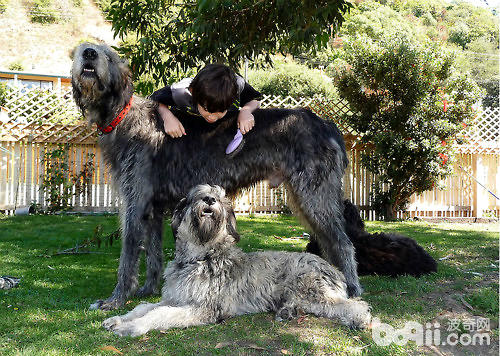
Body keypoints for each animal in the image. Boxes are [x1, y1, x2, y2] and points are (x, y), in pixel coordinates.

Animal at [71, 42, 364, 308]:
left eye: (108, 55)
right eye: (83, 49)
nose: (89, 53)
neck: (121, 116)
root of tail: (327, 124)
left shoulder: (136, 203)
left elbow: (129, 251)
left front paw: (116, 299)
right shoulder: (153, 209)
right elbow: (153, 253)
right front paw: (147, 290)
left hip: (315, 195)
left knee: (343, 243)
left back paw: (351, 288)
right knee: (329, 242)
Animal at [102, 185, 372, 338]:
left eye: (221, 199)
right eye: (196, 195)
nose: (209, 200)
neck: (199, 256)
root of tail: (334, 270)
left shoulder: (203, 308)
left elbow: (160, 314)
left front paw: (132, 328)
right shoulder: (174, 298)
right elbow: (144, 307)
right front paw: (119, 319)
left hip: (311, 290)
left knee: (354, 305)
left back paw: (361, 319)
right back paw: (288, 312)